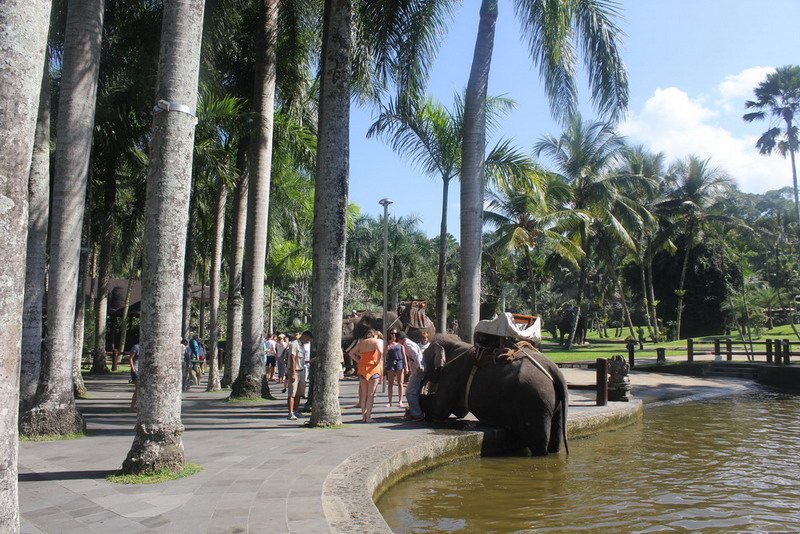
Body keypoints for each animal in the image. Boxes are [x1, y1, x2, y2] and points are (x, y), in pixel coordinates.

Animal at [418, 336, 568, 456]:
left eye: (424, 358)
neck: (455, 343)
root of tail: (553, 369)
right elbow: (458, 411)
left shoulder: (451, 373)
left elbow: (440, 409)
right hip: (553, 403)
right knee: (556, 439)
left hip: (534, 402)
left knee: (539, 444)